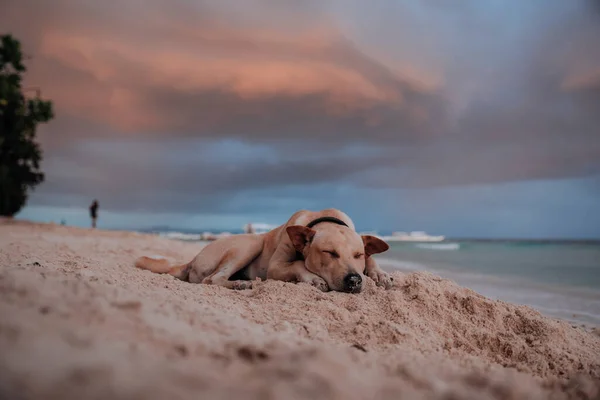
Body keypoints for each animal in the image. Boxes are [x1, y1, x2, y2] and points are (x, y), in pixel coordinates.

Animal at [134, 209, 392, 294]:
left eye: (358, 255)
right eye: (329, 253)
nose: (354, 281)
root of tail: (192, 259)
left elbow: (373, 262)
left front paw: (379, 274)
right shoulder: (276, 267)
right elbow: (298, 263)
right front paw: (313, 278)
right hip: (250, 243)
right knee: (212, 279)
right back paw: (241, 284)